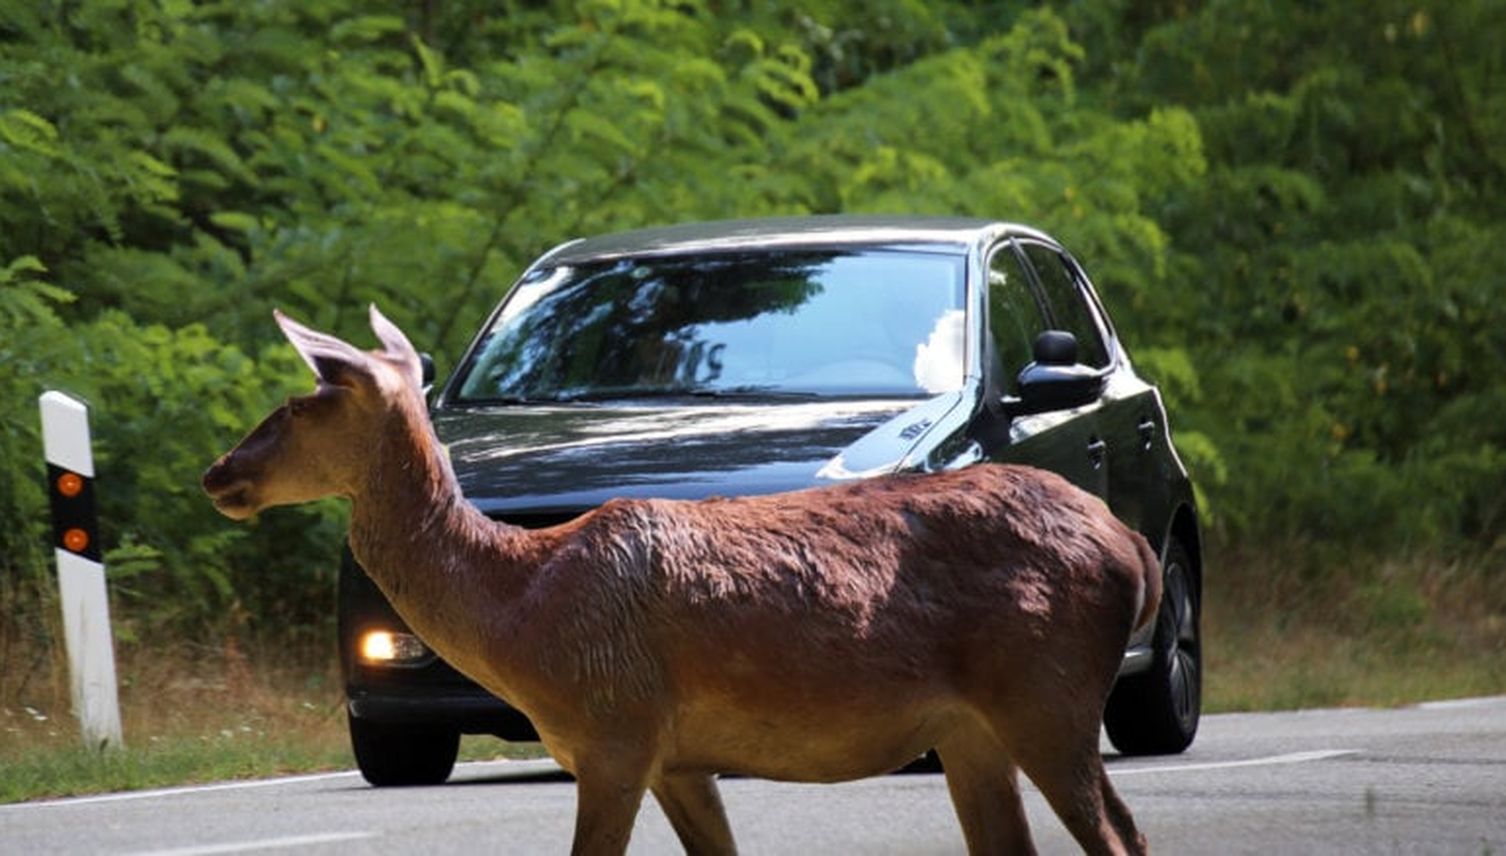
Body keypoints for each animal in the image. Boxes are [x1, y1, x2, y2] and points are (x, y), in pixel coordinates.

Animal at [203, 307, 1162, 856]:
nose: (219, 473)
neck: (522, 611)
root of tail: (1131, 546)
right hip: (974, 730)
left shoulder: (615, 730)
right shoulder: (675, 755)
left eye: (299, 403)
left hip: (1047, 692)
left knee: (1121, 836)